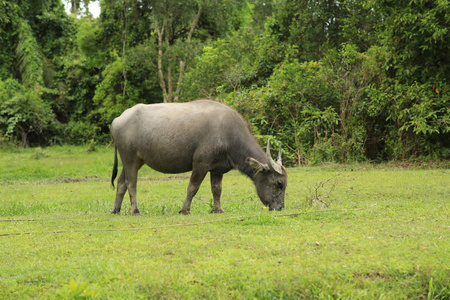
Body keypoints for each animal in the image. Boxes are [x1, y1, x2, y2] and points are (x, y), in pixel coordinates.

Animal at [111, 99, 288, 214]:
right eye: (279, 183)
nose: (280, 207)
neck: (227, 134)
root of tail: (117, 120)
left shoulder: (217, 169)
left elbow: (217, 190)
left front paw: (218, 209)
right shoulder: (200, 164)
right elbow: (193, 187)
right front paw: (184, 209)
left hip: (135, 160)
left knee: (121, 182)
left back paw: (115, 209)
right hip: (130, 158)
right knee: (131, 183)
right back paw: (135, 210)